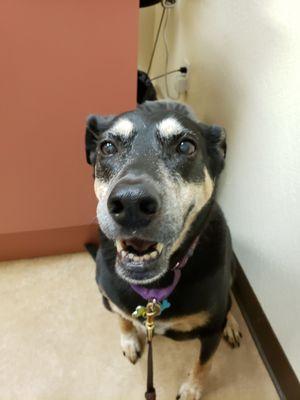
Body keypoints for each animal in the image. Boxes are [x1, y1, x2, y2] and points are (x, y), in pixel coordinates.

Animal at [85, 101, 241, 400]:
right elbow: (122, 318)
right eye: (107, 147)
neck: (155, 288)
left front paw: (192, 389)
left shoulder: (211, 329)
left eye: (186, 146)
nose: (131, 203)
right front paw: (129, 340)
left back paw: (232, 323)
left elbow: (204, 363)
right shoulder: (109, 294)